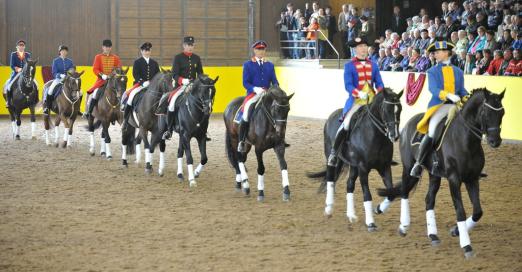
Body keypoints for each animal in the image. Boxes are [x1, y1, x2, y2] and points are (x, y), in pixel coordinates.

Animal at [304, 88, 402, 232]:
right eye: (386, 110)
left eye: (399, 109)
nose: (394, 136)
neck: (375, 135)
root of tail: (332, 115)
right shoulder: (363, 168)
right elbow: (367, 195)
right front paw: (370, 223)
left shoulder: (384, 167)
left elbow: (391, 192)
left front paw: (378, 209)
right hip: (332, 157)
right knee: (330, 178)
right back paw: (329, 209)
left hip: (353, 165)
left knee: (349, 184)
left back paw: (351, 215)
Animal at [378, 88, 504, 258]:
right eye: (486, 113)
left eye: (502, 112)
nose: (495, 141)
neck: (466, 140)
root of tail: (408, 124)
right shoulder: (454, 179)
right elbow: (460, 211)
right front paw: (466, 245)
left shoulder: (472, 179)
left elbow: (478, 211)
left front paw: (456, 231)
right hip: (408, 168)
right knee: (404, 191)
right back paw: (403, 226)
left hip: (435, 174)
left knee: (429, 199)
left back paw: (433, 235)